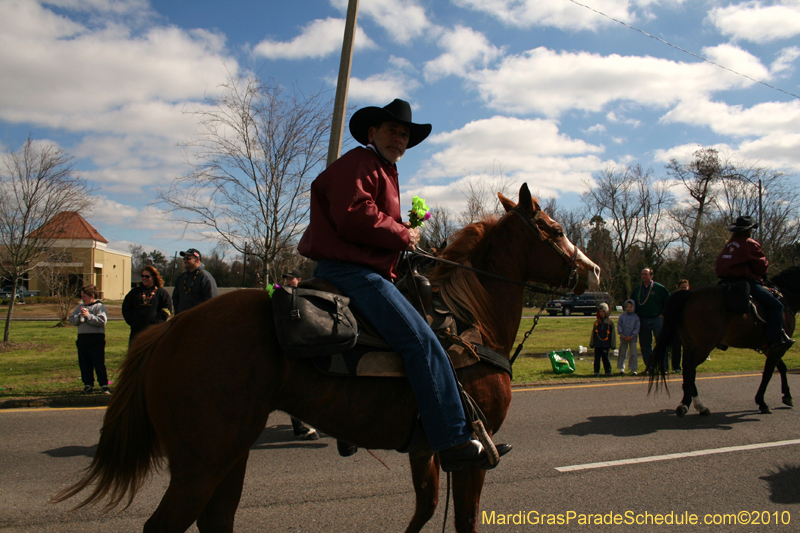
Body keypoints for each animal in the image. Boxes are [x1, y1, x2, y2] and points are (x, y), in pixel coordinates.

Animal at [54, 184, 600, 532]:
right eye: (554, 229)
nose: (593, 271)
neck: (468, 318)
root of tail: (170, 329)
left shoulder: (426, 449)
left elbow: (424, 510)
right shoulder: (472, 457)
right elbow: (463, 521)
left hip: (228, 454)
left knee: (216, 521)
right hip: (200, 462)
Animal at [648, 266, 800, 416]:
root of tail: (690, 294)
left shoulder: (771, 348)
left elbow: (781, 368)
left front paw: (787, 395)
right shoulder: (777, 347)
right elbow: (768, 373)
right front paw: (762, 402)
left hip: (690, 344)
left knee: (689, 369)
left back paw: (692, 404)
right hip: (704, 346)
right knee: (690, 368)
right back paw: (692, 404)